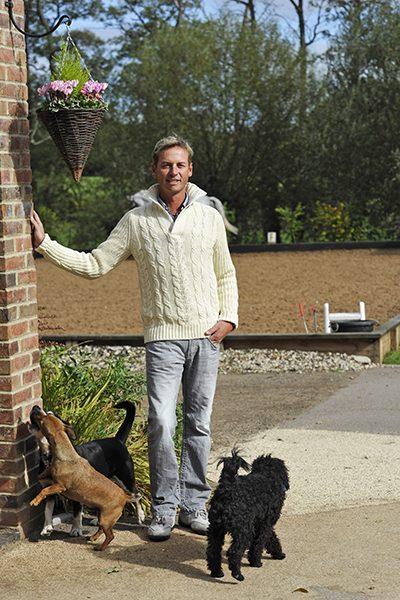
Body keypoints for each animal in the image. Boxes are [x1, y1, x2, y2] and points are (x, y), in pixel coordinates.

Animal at [29, 400, 145, 536]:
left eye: (49, 414)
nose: (35, 407)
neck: (49, 455)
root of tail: (118, 439)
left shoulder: (76, 492)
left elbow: (76, 513)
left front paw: (76, 529)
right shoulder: (48, 489)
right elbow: (47, 510)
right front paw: (47, 527)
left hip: (126, 478)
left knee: (136, 494)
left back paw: (141, 515)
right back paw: (98, 519)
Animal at [208, 448, 290, 580]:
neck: (268, 475)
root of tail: (227, 486)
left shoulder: (261, 522)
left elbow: (271, 538)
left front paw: (278, 553)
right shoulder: (264, 524)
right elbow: (259, 542)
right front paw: (256, 561)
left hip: (216, 529)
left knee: (213, 551)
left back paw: (217, 572)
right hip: (244, 530)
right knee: (234, 552)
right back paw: (237, 574)